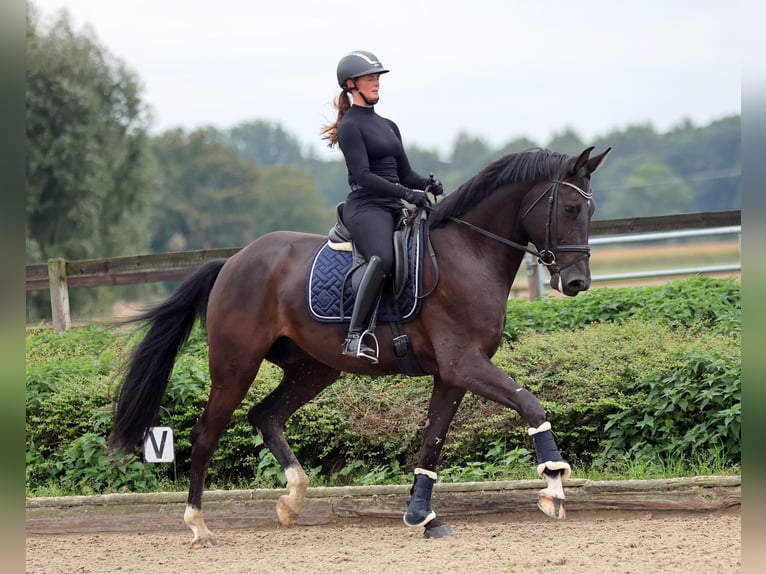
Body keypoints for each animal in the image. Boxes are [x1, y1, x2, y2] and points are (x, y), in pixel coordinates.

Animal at [109, 145, 611, 546]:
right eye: (570, 208)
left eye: (589, 212)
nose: (577, 282)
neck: (469, 252)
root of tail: (233, 262)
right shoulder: (464, 364)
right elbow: (530, 403)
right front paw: (553, 485)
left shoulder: (452, 374)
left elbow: (432, 442)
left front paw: (423, 517)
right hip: (236, 366)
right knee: (206, 434)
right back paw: (199, 524)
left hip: (314, 368)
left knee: (265, 415)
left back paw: (292, 500)